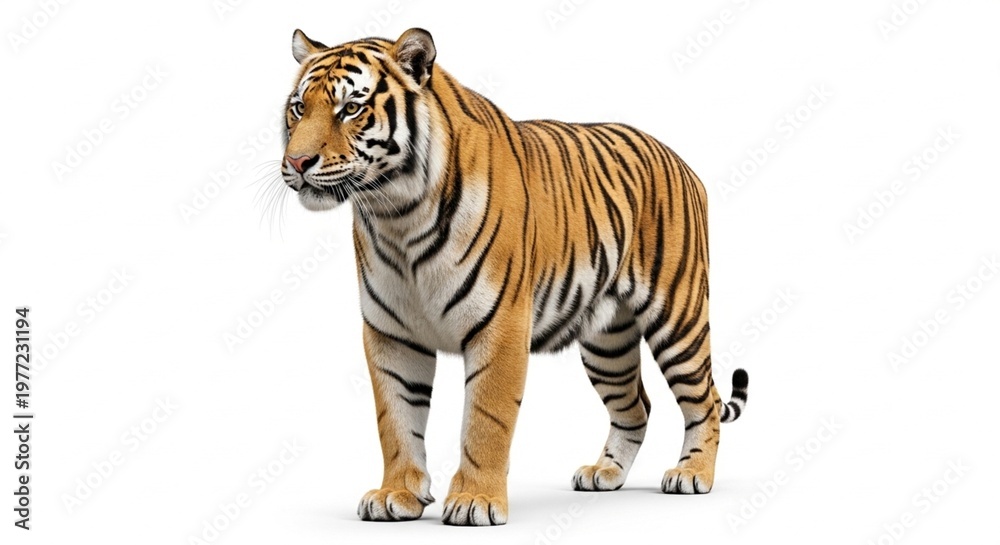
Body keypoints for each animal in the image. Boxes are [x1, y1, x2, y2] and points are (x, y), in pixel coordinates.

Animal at [279, 27, 749, 526]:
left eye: (351, 108)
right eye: (299, 107)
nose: (297, 162)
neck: (396, 213)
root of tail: (678, 158)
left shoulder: (499, 325)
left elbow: (486, 419)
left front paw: (475, 501)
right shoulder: (391, 334)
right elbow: (396, 419)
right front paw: (397, 494)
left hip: (679, 317)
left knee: (703, 400)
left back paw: (692, 474)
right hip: (607, 342)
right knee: (635, 406)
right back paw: (604, 473)